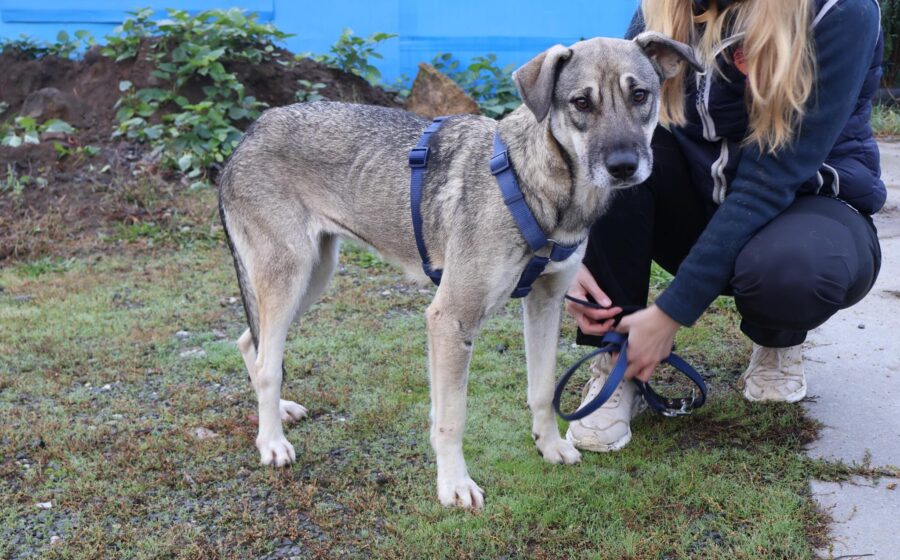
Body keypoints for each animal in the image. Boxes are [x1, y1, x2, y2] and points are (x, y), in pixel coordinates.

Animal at [218, 32, 700, 509]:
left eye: (640, 95)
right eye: (581, 102)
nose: (624, 167)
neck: (538, 185)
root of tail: (251, 131)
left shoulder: (545, 304)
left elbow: (541, 390)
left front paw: (549, 446)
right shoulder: (450, 319)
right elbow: (452, 417)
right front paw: (453, 484)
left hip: (313, 276)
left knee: (250, 342)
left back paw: (277, 411)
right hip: (289, 276)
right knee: (267, 363)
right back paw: (271, 442)